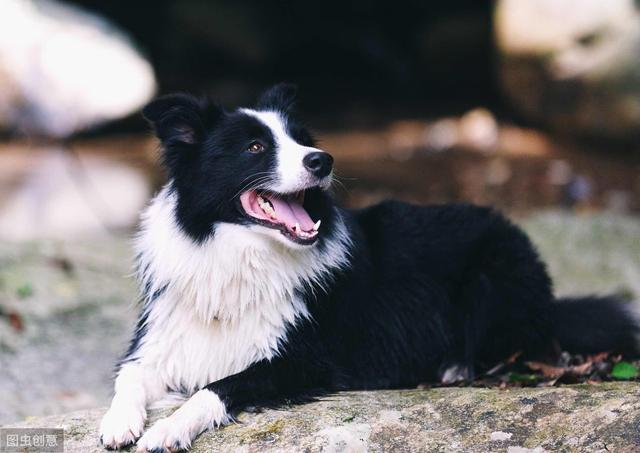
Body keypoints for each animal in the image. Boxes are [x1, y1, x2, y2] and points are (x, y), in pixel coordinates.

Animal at [100, 84, 640, 448]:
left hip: (494, 272)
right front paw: (118, 422)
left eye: (302, 141)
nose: (322, 160)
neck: (237, 253)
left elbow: (219, 386)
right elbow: (128, 377)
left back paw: (454, 367)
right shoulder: (160, 339)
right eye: (255, 147)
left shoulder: (304, 358)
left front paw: (167, 429)